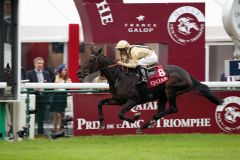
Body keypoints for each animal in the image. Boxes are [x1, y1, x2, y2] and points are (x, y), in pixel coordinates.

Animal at [78, 48, 222, 134]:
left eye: (91, 60)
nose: (79, 73)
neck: (120, 77)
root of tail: (187, 74)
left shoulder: (133, 100)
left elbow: (120, 114)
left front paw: (135, 118)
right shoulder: (118, 100)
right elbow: (100, 103)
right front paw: (101, 123)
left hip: (171, 90)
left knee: (173, 109)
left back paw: (143, 125)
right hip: (163, 95)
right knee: (162, 110)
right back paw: (148, 124)